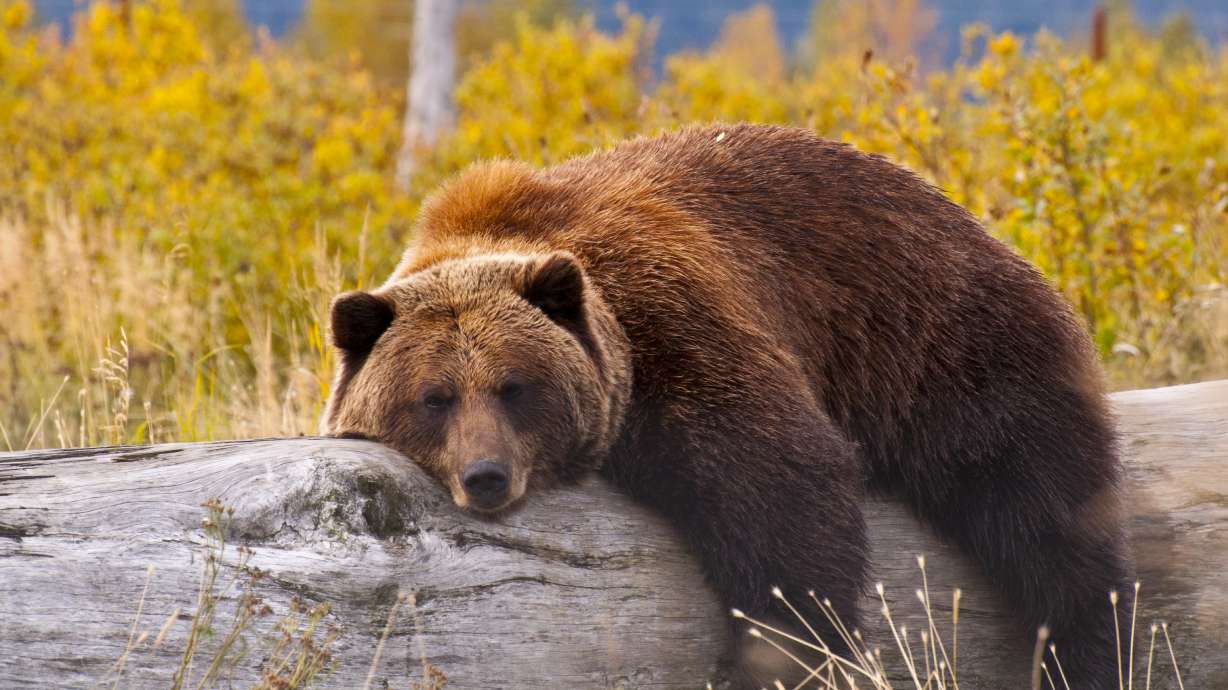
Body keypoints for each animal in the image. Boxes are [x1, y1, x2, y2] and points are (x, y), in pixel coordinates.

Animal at [323, 124, 1132, 687]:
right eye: (434, 397)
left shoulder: (675, 325)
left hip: (945, 346)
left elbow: (782, 492)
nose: (486, 475)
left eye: (514, 386)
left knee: (1043, 512)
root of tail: (973, 222)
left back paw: (1086, 651)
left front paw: (767, 657)